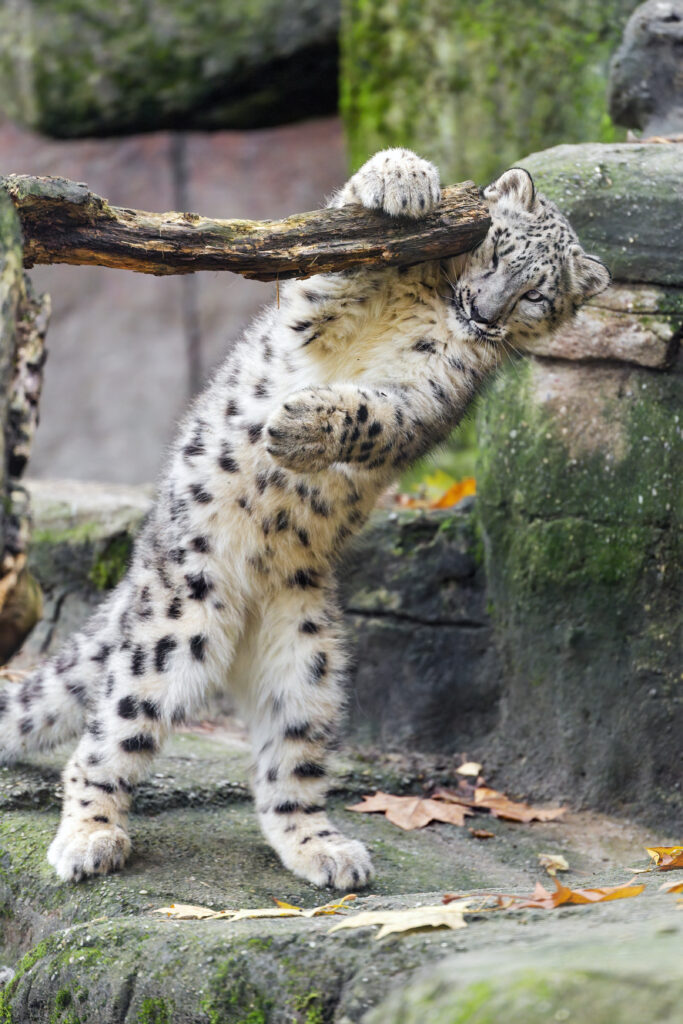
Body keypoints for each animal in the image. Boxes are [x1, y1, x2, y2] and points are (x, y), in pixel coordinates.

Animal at [0, 148, 610, 889]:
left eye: (537, 296)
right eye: (493, 249)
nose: (484, 312)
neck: (434, 308)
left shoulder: (426, 399)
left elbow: (371, 415)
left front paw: (297, 426)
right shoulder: (314, 312)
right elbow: (329, 271)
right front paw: (401, 179)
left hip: (309, 665)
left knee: (283, 769)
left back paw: (326, 852)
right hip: (172, 630)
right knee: (107, 741)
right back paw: (90, 839)